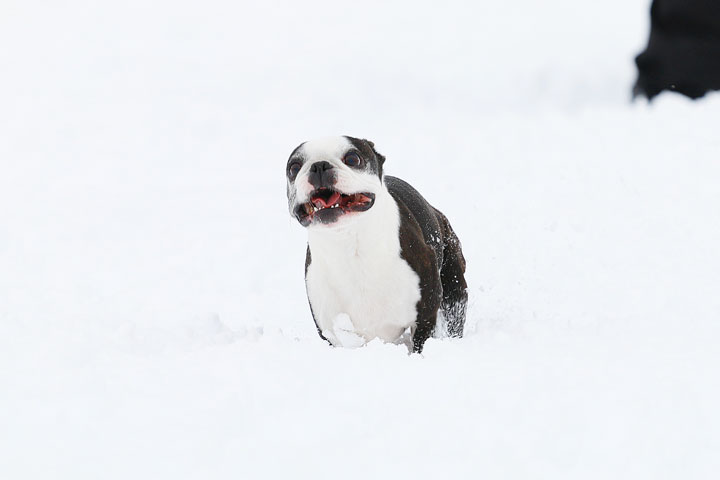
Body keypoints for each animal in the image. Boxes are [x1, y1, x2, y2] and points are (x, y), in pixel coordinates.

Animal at [286, 136, 466, 352]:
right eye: (294, 168)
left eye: (353, 158)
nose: (319, 166)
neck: (348, 242)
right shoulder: (332, 333)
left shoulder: (425, 313)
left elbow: (420, 343)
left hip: (453, 286)